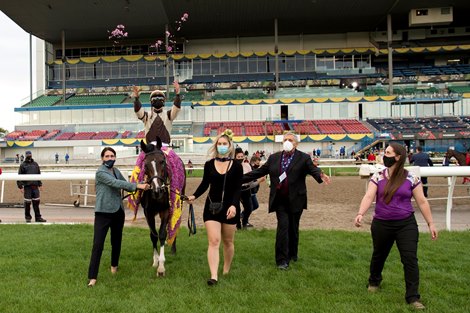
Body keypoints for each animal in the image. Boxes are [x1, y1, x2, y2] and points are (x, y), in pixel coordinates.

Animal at [139, 137, 186, 276]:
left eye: (162, 162)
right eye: (145, 165)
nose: (157, 190)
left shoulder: (166, 210)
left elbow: (162, 233)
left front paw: (161, 266)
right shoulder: (148, 212)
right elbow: (153, 235)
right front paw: (155, 261)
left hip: (179, 203)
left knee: (174, 225)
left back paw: (173, 247)